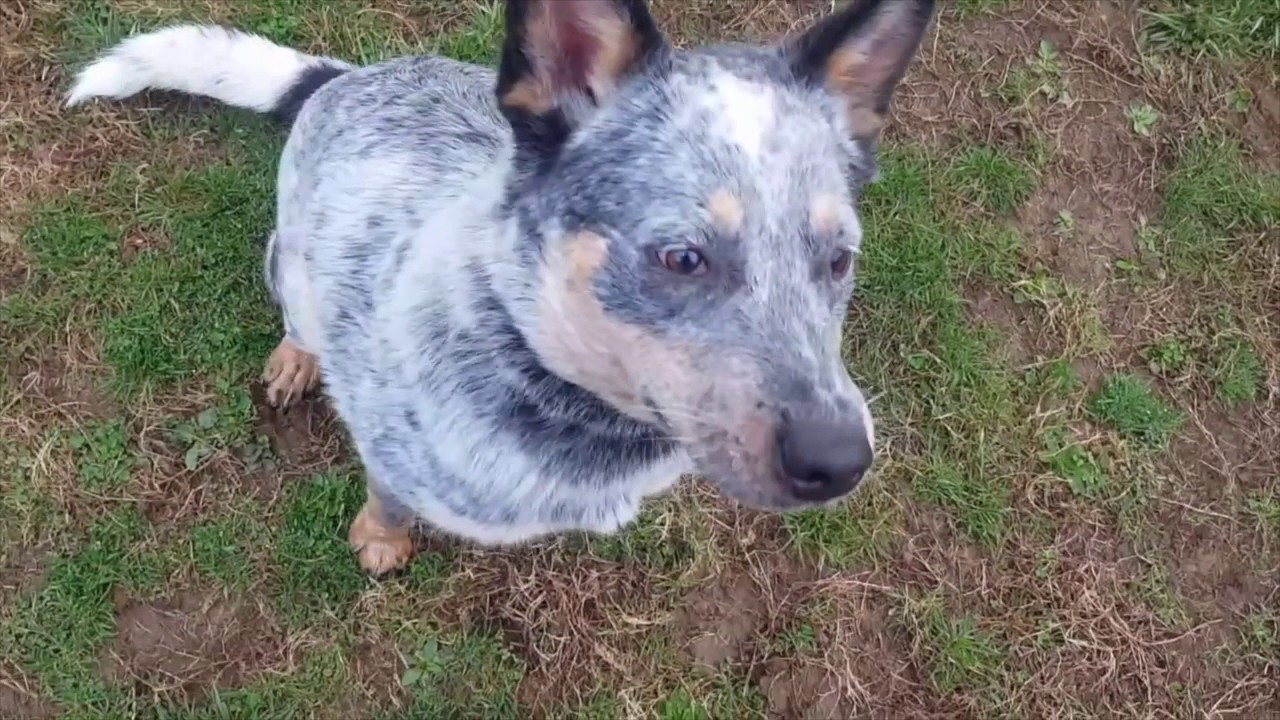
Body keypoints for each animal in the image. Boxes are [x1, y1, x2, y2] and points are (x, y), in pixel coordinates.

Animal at [64, 0, 936, 571]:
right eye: (682, 258)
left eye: (839, 259)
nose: (840, 461)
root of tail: (341, 79)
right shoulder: (389, 447)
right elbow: (387, 498)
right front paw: (380, 540)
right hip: (289, 260)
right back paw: (297, 360)